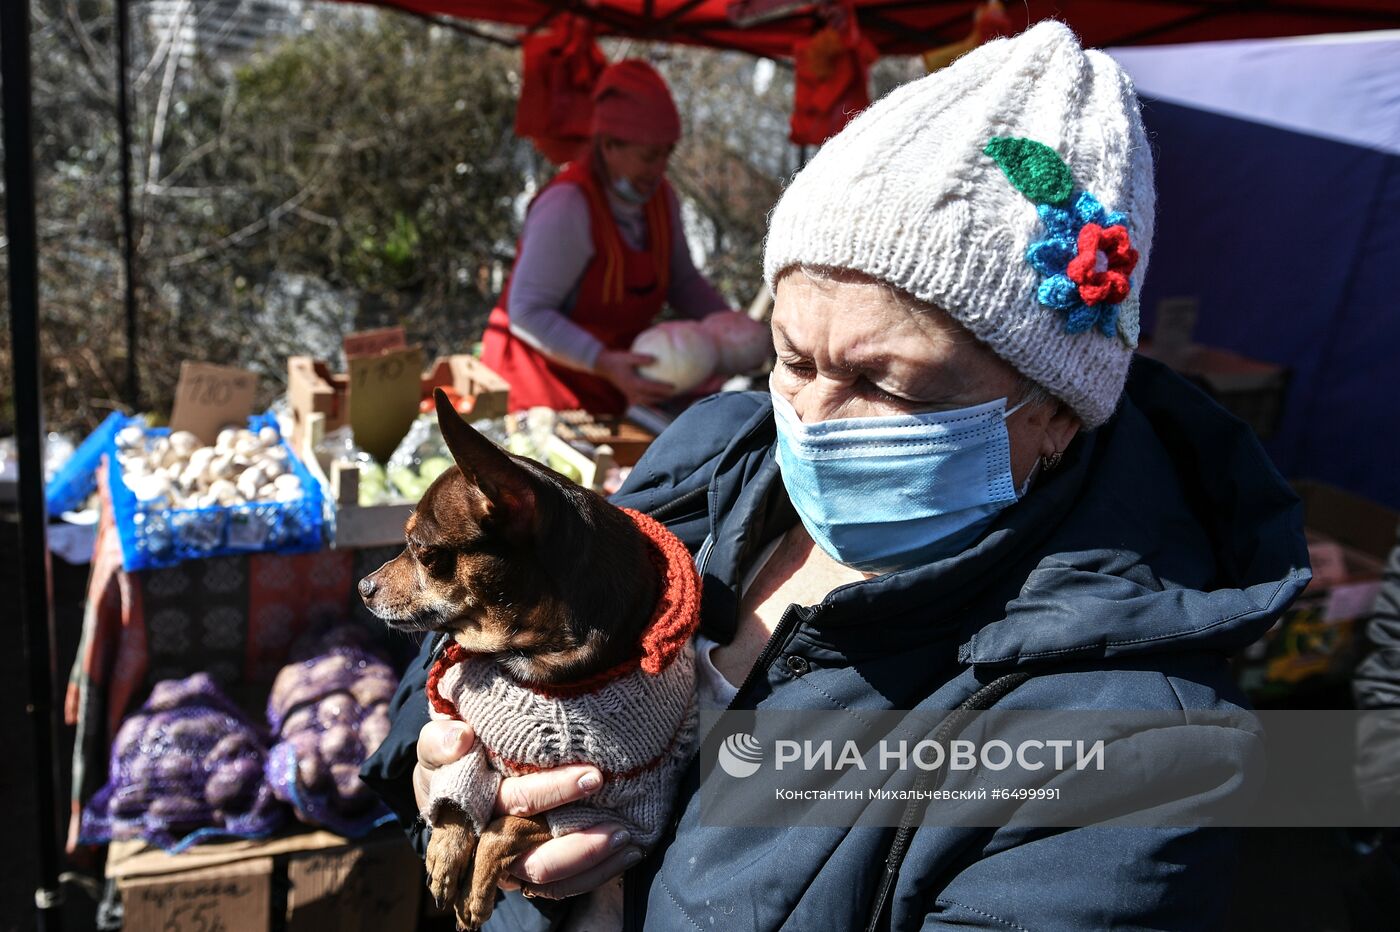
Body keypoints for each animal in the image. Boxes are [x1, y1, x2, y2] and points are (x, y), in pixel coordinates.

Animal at [358, 389, 691, 923]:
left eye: (424, 553)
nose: (363, 587)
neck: (528, 661)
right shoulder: (465, 740)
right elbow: (458, 798)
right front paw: (446, 853)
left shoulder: (612, 805)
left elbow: (509, 826)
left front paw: (477, 884)